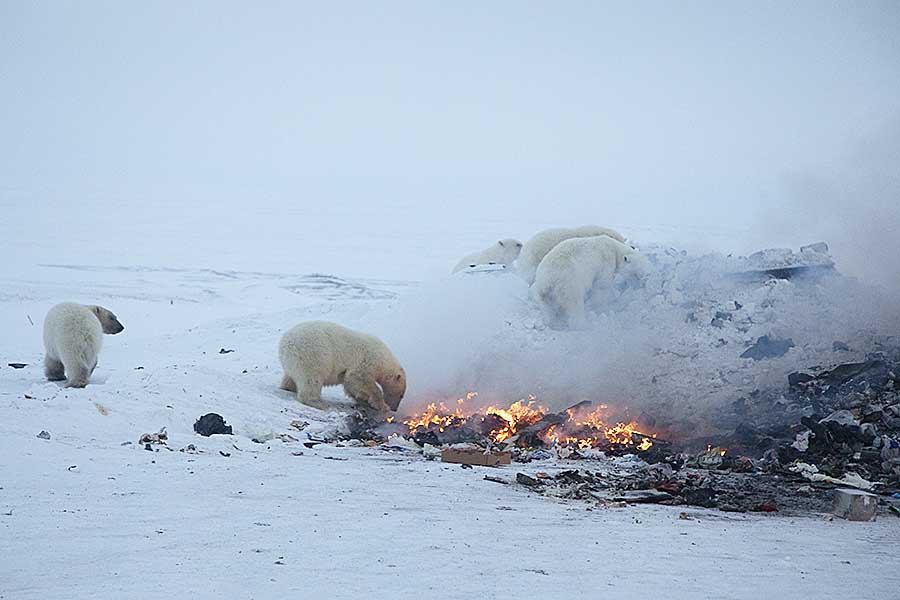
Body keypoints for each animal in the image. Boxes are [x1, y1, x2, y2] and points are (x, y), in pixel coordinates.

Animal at [278, 322, 408, 414]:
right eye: (401, 395)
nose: (395, 409)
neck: (383, 358)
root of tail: (285, 344)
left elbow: (350, 384)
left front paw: (364, 400)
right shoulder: (366, 361)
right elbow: (358, 379)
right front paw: (382, 406)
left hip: (294, 362)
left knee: (290, 377)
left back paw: (288, 388)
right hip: (313, 354)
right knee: (312, 378)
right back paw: (318, 403)